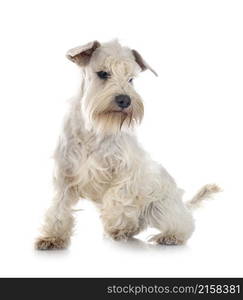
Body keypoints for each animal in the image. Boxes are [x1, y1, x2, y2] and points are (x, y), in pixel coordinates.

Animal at [35, 39, 220, 250]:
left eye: (131, 79)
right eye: (103, 73)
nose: (125, 100)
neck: (94, 129)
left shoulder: (127, 171)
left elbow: (116, 196)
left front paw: (115, 224)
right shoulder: (64, 174)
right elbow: (59, 208)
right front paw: (52, 237)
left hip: (162, 208)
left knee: (184, 224)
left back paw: (168, 236)